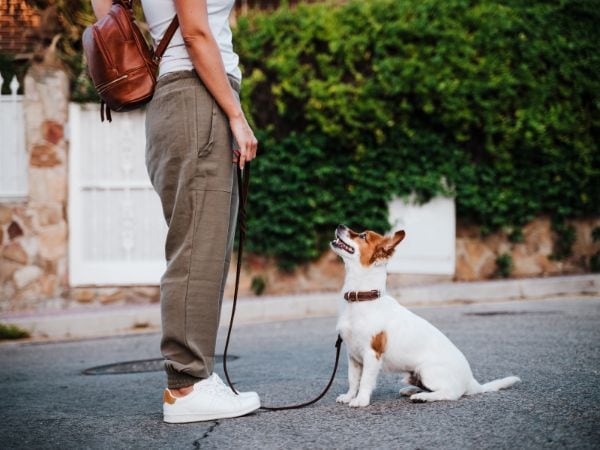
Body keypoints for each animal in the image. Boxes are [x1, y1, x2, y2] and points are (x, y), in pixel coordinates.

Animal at [330, 225, 516, 408]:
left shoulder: (371, 354)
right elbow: (353, 379)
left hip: (428, 371)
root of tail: (471, 382)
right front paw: (349, 396)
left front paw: (361, 400)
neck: (361, 298)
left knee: (450, 393)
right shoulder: (353, 356)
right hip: (413, 374)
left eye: (363, 236)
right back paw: (412, 390)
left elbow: (365, 381)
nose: (340, 225)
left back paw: (423, 397)